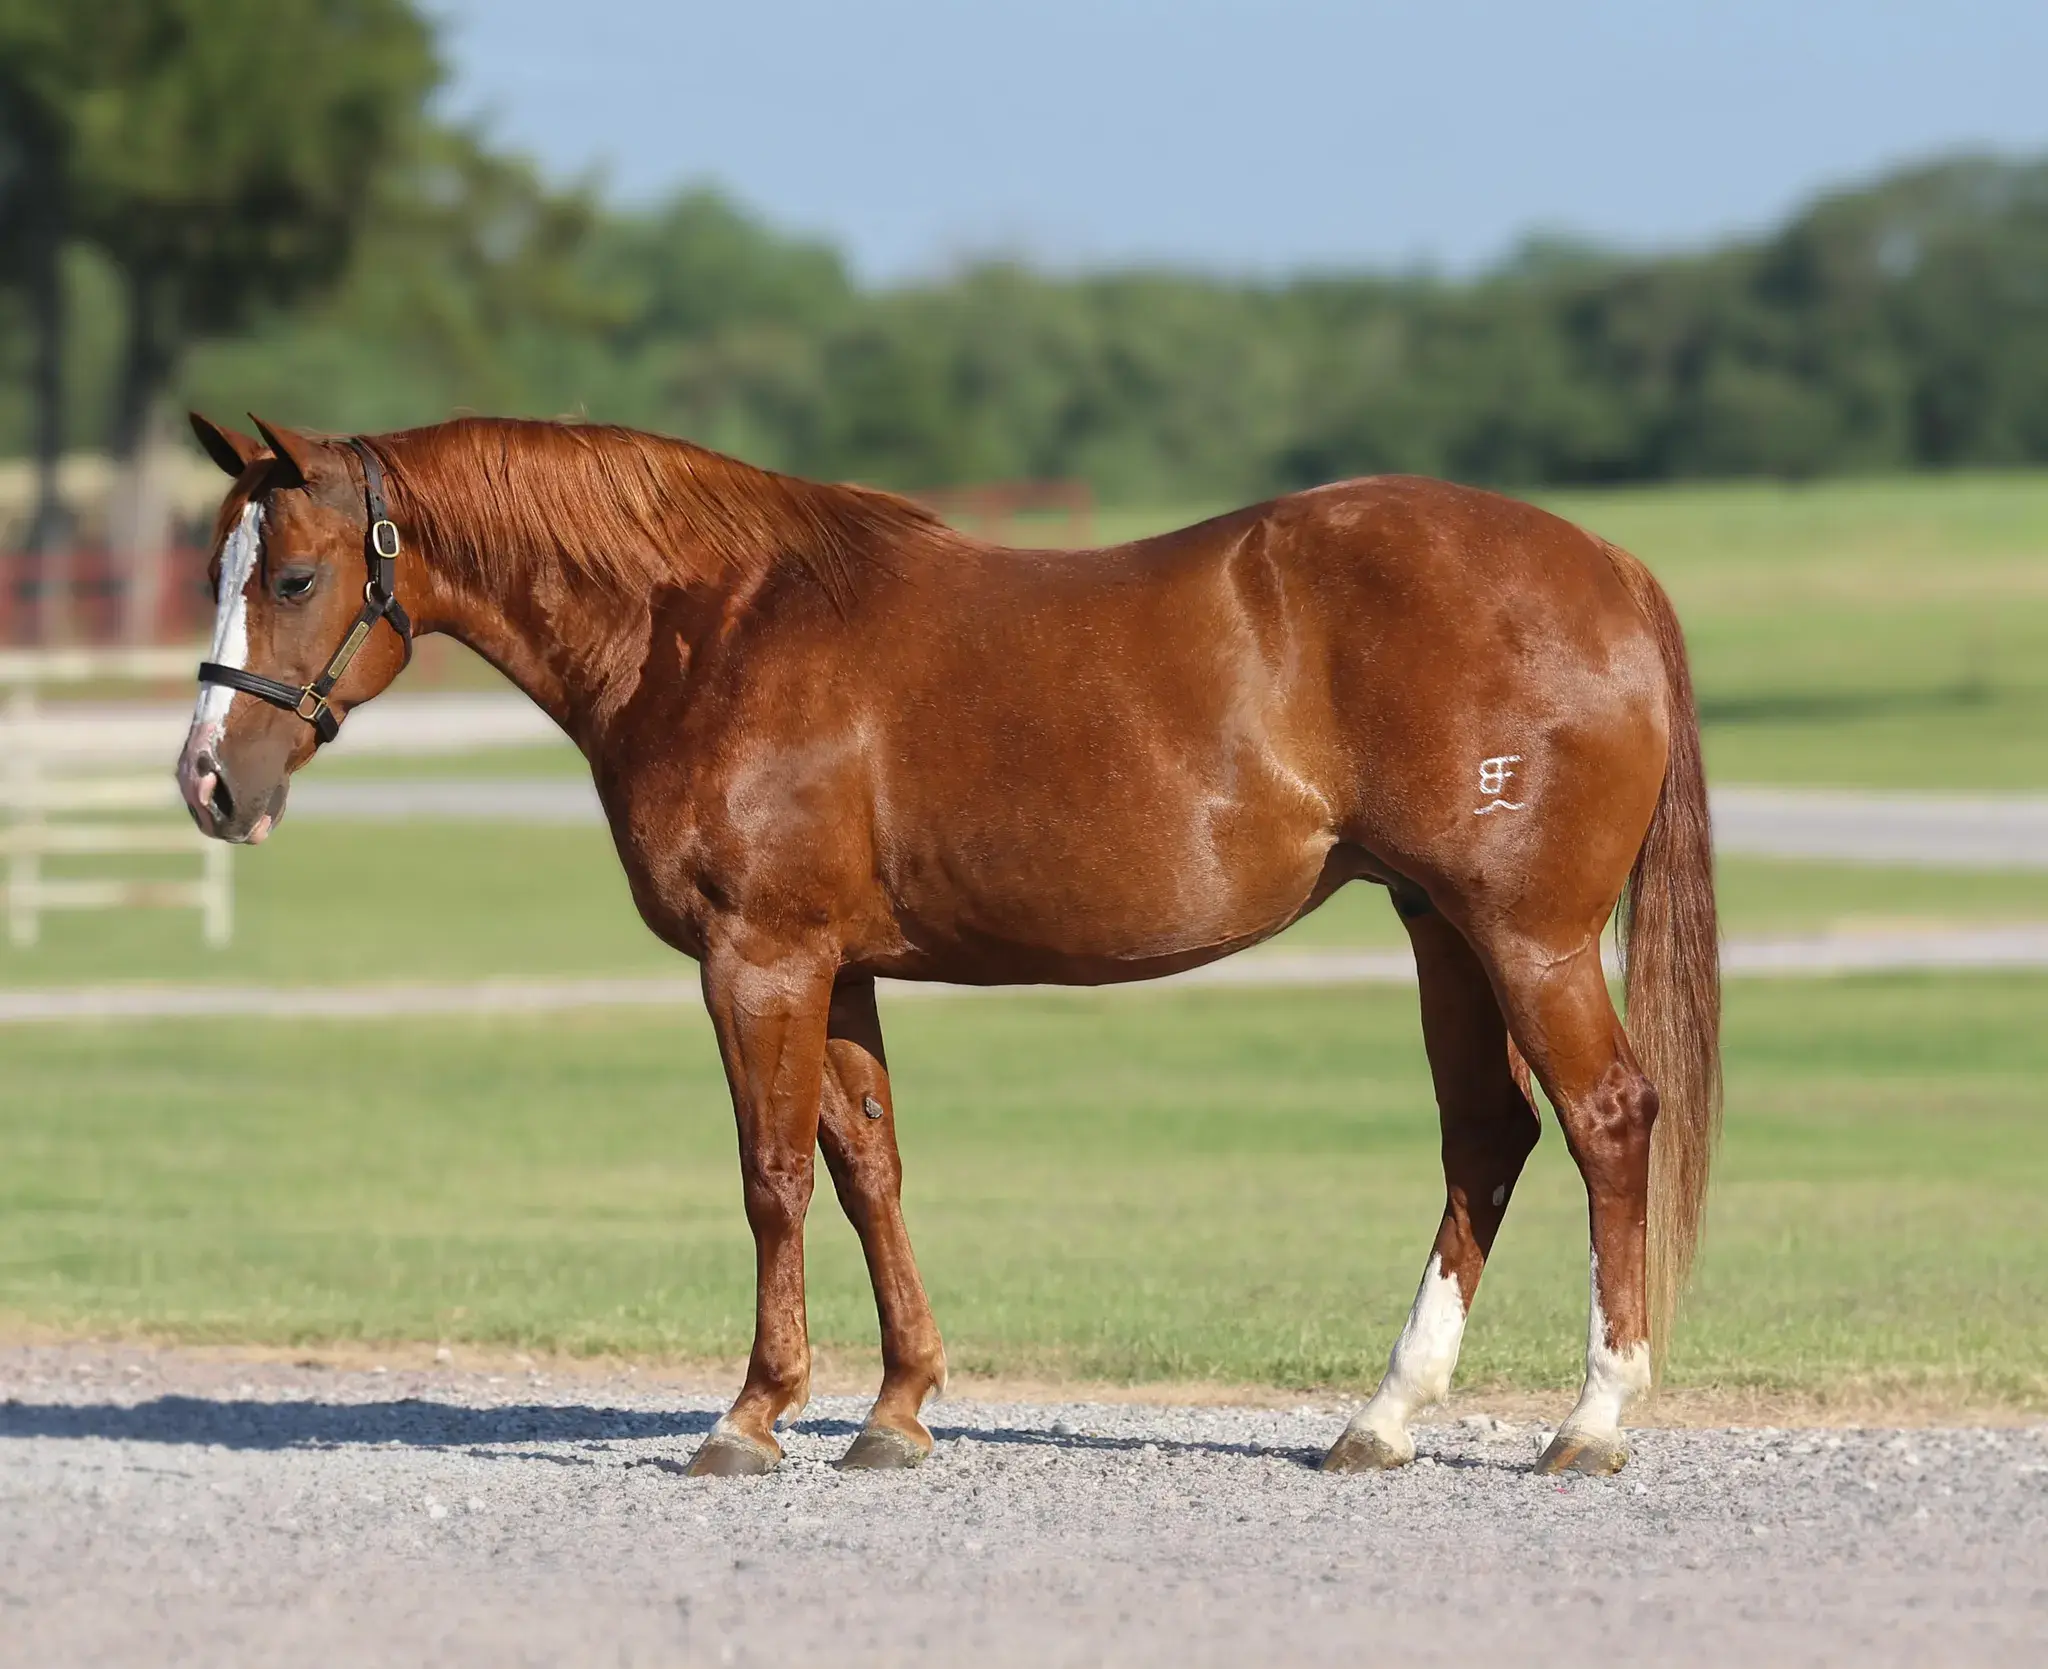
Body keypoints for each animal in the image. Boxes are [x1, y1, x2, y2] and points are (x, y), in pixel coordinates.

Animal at [176, 411, 1720, 1478]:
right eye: (216, 567)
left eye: (297, 576)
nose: (206, 780)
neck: (710, 630)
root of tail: (1610, 568)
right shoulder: (839, 967)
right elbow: (870, 1170)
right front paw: (898, 1408)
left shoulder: (759, 960)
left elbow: (774, 1179)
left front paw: (753, 1414)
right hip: (1439, 929)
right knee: (1487, 1138)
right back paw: (1384, 1417)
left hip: (1524, 937)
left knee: (1604, 1118)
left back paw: (1591, 1420)